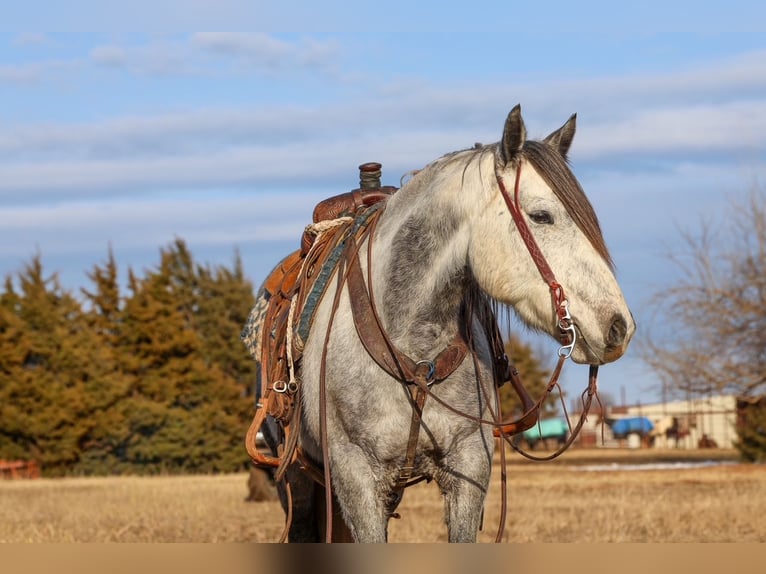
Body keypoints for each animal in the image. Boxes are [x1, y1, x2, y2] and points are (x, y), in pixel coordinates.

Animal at [243, 105, 635, 542]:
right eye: (541, 215)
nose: (618, 326)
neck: (413, 346)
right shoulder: (355, 478)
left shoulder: (468, 469)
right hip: (296, 480)